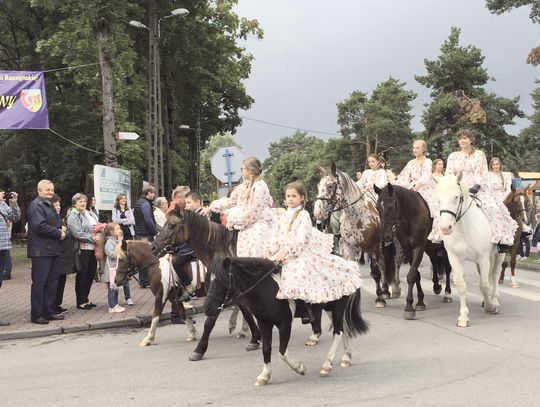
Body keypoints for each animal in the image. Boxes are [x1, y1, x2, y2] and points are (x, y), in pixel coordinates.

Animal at [149, 209, 260, 362]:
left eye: (172, 225)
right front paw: (255, 338)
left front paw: (199, 350)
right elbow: (247, 314)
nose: (153, 246)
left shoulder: (218, 296)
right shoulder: (233, 294)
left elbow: (209, 322)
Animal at [205, 258, 370, 386]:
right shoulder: (264, 323)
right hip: (329, 307)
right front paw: (264, 376)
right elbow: (266, 349)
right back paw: (346, 358)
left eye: (220, 280)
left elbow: (282, 352)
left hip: (337, 307)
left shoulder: (285, 323)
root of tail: (347, 262)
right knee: (344, 329)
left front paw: (300, 368)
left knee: (338, 332)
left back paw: (327, 365)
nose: (207, 308)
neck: (266, 290)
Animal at [376, 183, 452, 320]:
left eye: (391, 205)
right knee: (434, 260)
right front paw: (420, 301)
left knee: (448, 267)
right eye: (377, 207)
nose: (385, 236)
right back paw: (436, 286)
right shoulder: (407, 248)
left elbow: (411, 275)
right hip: (430, 246)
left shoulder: (419, 247)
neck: (410, 217)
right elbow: (416, 274)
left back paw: (447, 293)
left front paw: (409, 307)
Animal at [434, 175, 506, 328]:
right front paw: (463, 317)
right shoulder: (454, 258)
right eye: (438, 199)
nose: (445, 228)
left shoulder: (483, 258)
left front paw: (491, 306)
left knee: (495, 275)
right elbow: (461, 285)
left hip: (499, 254)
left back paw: (495, 301)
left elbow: (483, 285)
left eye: (456, 197)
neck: (464, 228)